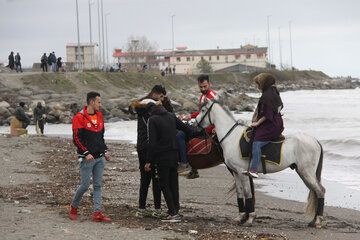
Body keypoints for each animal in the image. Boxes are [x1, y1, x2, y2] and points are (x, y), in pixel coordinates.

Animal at [194, 99, 326, 229]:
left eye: (203, 110)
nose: (194, 124)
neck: (231, 138)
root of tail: (315, 141)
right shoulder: (236, 173)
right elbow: (239, 193)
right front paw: (240, 217)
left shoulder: (242, 173)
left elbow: (247, 193)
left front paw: (250, 218)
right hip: (304, 173)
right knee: (316, 192)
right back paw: (314, 220)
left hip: (306, 172)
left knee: (320, 191)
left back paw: (318, 220)